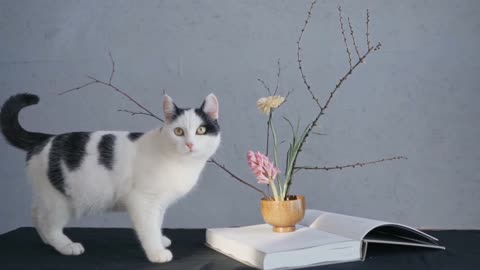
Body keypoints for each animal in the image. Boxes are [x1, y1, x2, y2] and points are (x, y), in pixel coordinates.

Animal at [0, 92, 221, 262]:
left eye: (201, 130)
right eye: (178, 131)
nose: (190, 144)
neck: (178, 162)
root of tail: (45, 138)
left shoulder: (159, 203)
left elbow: (156, 223)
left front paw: (160, 239)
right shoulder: (143, 201)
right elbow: (148, 227)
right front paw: (156, 252)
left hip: (46, 193)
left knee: (36, 213)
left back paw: (46, 239)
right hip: (60, 200)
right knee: (49, 222)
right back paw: (65, 245)